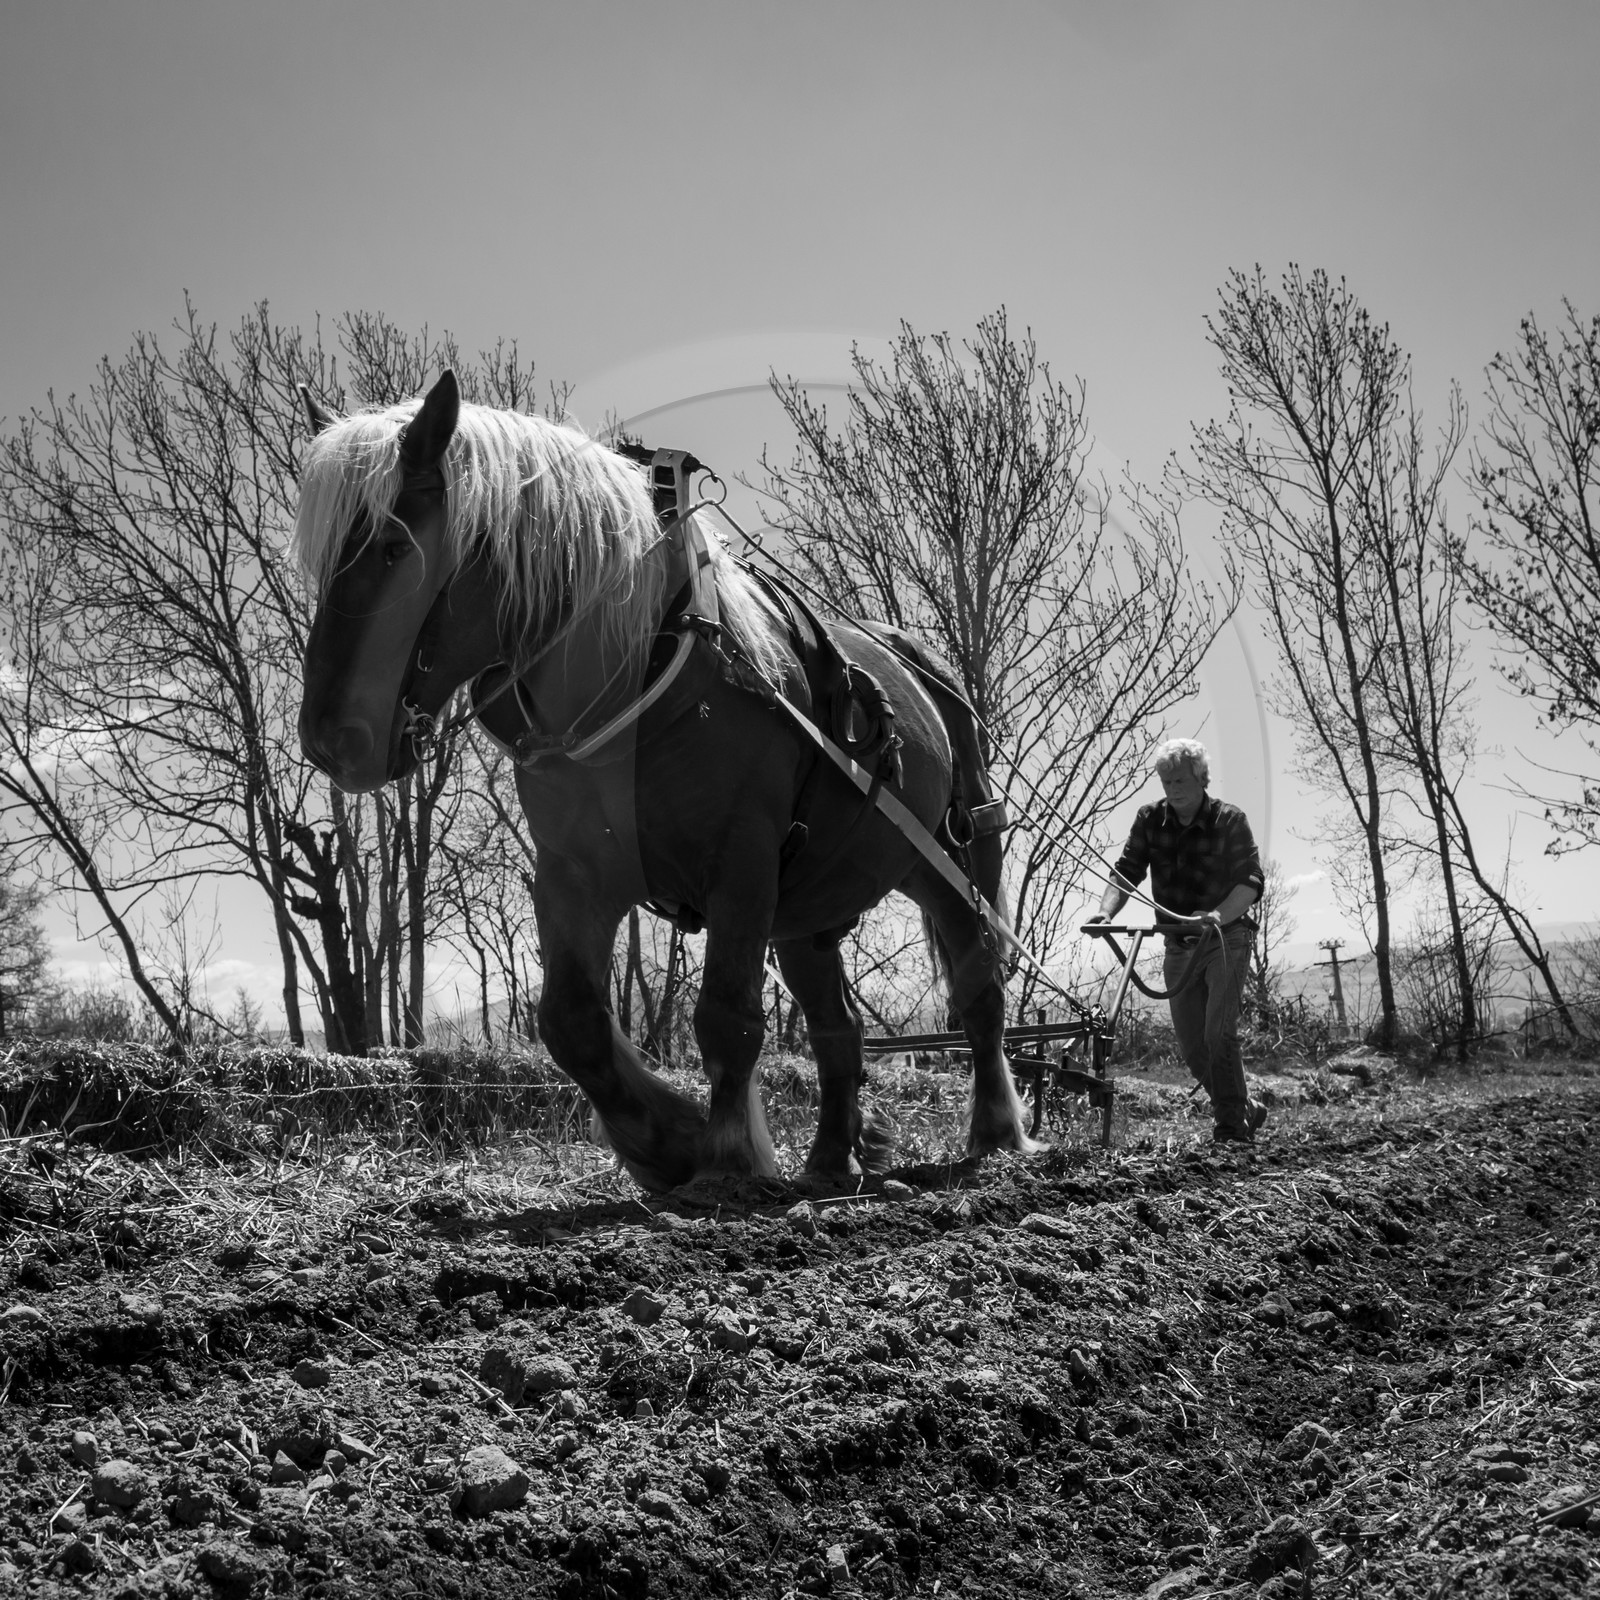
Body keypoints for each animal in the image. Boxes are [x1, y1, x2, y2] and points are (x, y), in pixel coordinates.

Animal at [293, 369, 1038, 1193]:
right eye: (322, 560)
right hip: (807, 910)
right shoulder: (575, 874)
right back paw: (830, 1158)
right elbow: (571, 1022)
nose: (331, 741)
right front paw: (667, 1140)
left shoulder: (741, 863)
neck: (638, 668)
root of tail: (920, 662)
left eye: (395, 546)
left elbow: (726, 1018)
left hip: (948, 860)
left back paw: (996, 1132)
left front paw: (726, 1158)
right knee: (837, 1028)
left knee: (977, 988)